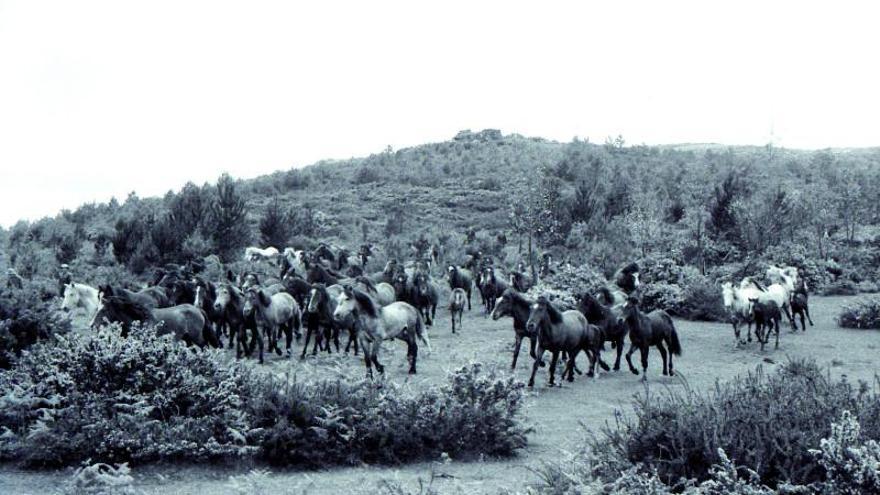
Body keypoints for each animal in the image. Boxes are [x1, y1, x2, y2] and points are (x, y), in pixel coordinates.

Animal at [90, 290, 220, 348]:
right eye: (97, 308)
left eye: (104, 310)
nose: (92, 325)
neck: (141, 319)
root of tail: (198, 310)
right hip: (187, 338)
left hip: (197, 337)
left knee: (205, 346)